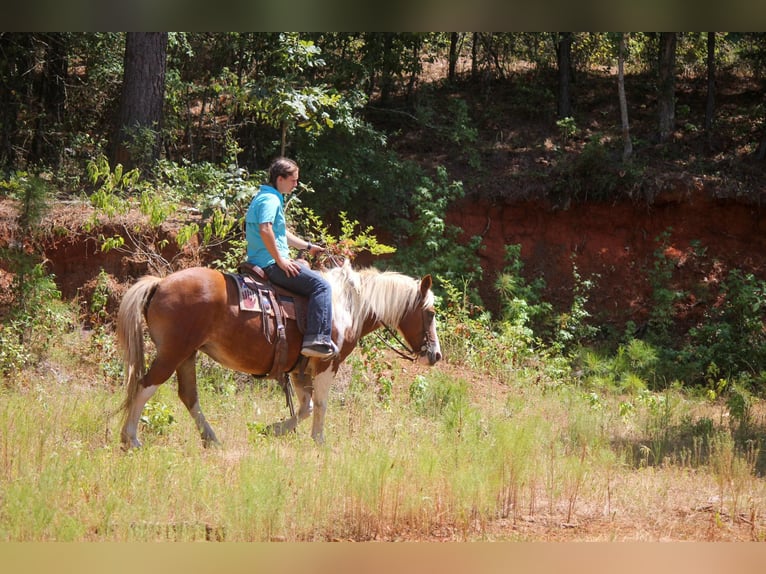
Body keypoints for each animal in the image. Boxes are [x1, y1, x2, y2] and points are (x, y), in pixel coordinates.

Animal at [117, 264, 448, 452]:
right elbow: (321, 405)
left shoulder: (298, 370)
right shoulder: (327, 364)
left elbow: (305, 407)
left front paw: (272, 430)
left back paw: (211, 440)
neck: (346, 306)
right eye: (430, 313)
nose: (436, 355)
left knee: (188, 396)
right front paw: (319, 441)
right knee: (145, 386)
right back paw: (131, 439)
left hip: (187, 355)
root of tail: (160, 283)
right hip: (173, 353)